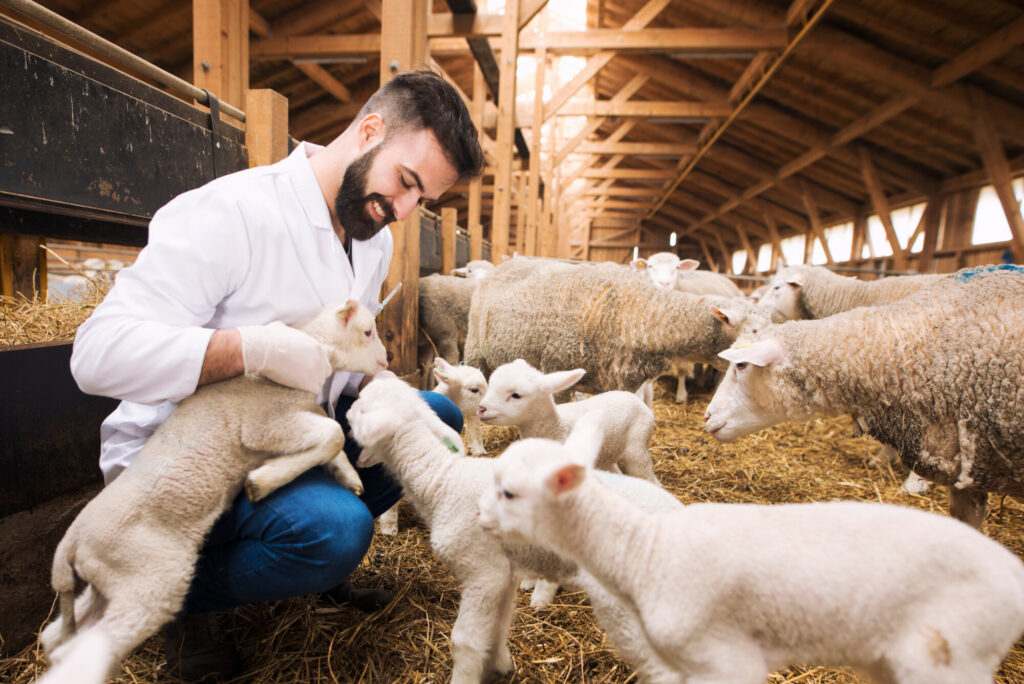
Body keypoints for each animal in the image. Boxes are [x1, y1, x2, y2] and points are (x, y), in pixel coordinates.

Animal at [36, 301, 385, 684]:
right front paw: (262, 480)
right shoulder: (265, 423)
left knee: (55, 636)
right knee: (82, 651)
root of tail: (71, 542)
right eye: (367, 331)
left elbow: (329, 430)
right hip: (147, 577)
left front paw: (347, 475)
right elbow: (332, 431)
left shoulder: (292, 416)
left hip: (108, 582)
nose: (386, 362)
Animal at [344, 376, 679, 679]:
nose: (344, 413)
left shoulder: (482, 571)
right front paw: (499, 666)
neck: (441, 480)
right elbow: (498, 627)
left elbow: (466, 641)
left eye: (361, 408)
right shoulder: (503, 574)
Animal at [483, 432, 1024, 684]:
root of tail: (1012, 574)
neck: (646, 548)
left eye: (509, 492)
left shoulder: (724, 658)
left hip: (949, 657)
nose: (480, 516)